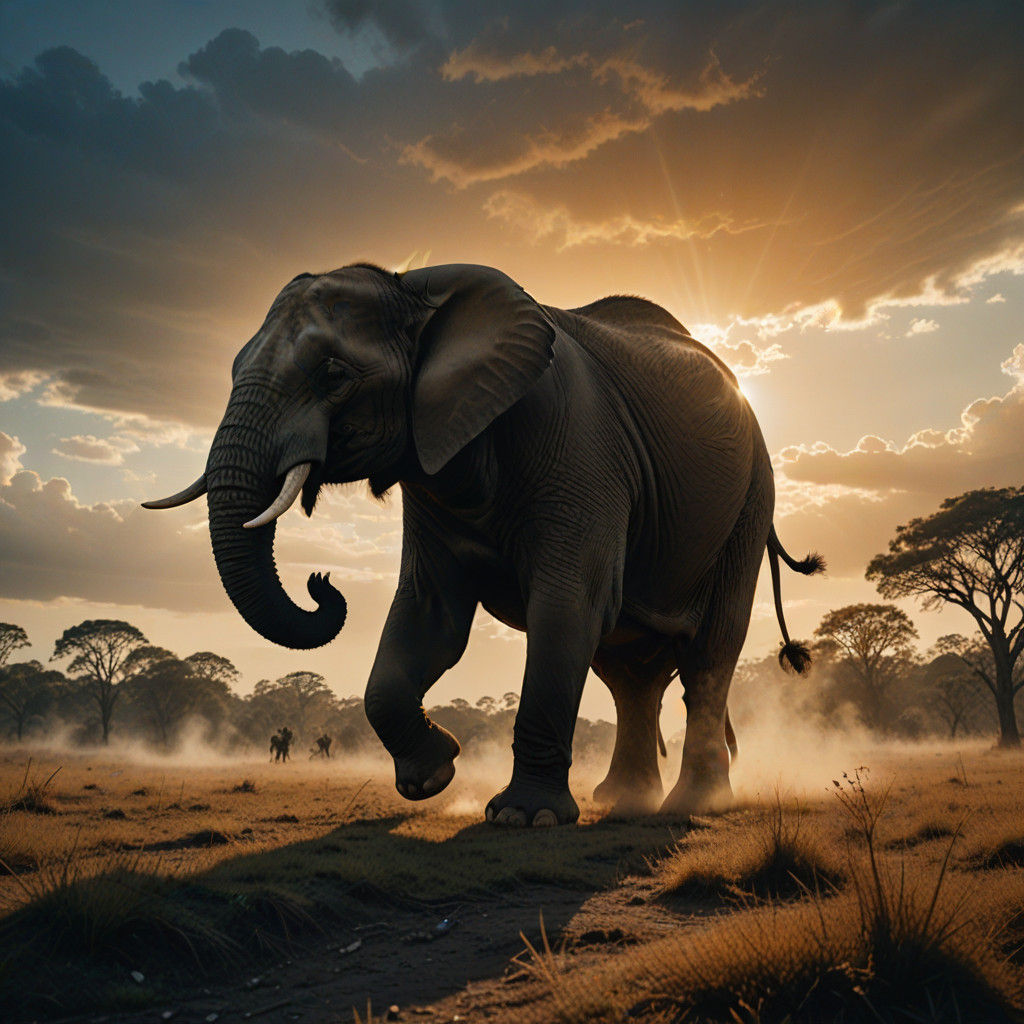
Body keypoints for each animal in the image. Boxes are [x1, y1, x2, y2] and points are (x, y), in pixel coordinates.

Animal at [144, 262, 822, 826]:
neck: (415, 287)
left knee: (707, 653)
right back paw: (623, 802)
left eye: (334, 375)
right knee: (629, 673)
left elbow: (566, 608)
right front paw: (434, 776)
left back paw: (692, 806)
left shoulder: (580, 451)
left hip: (749, 502)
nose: (322, 584)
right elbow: (429, 616)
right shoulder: (429, 464)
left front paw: (524, 818)